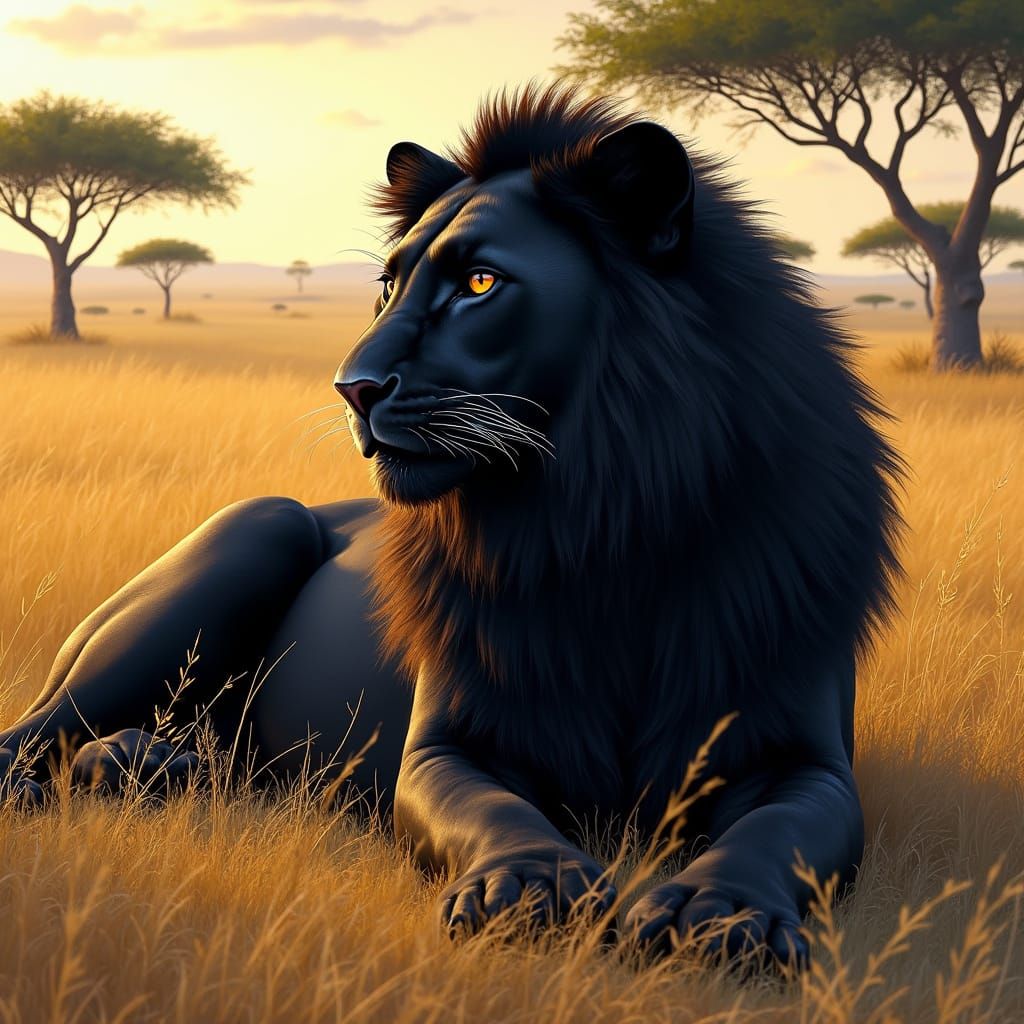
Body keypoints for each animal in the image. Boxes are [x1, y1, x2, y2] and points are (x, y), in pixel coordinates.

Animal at [0, 84, 903, 965]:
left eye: (480, 285)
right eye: (386, 286)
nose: (353, 387)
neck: (601, 525)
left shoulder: (798, 754)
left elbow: (777, 831)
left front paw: (720, 911)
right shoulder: (448, 743)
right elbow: (492, 811)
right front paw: (530, 884)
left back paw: (145, 764)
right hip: (255, 533)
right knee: (37, 726)